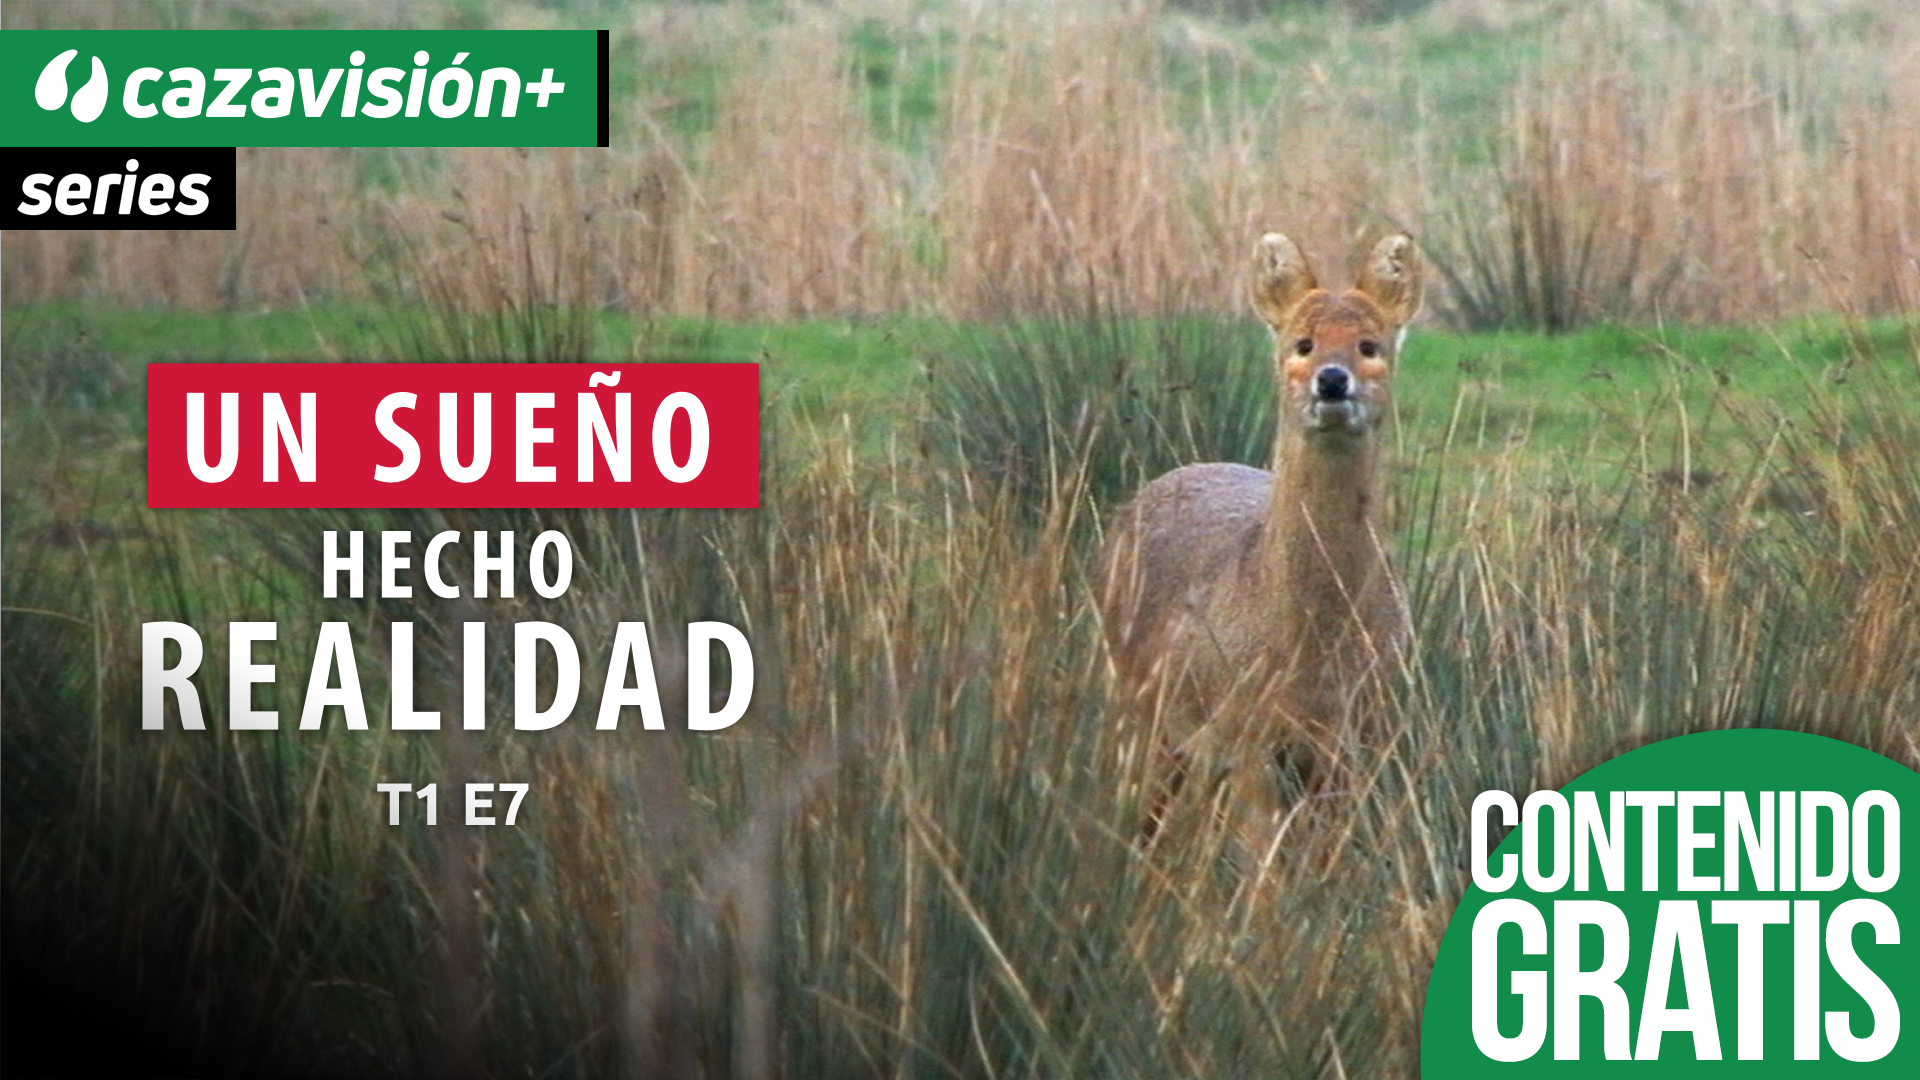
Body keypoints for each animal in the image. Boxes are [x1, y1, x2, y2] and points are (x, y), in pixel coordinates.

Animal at [1099, 231, 1424, 848]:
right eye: (1303, 342)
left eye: (1370, 344)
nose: (1332, 379)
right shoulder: (1246, 737)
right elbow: (1265, 868)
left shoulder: (1361, 738)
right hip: (1139, 711)